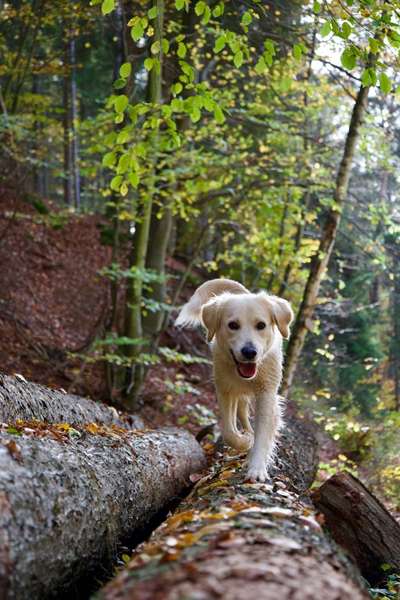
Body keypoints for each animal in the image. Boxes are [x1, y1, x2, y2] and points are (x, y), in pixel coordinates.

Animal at [176, 278, 294, 482]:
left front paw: (256, 468)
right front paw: (245, 442)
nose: (249, 352)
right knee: (242, 416)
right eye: (233, 325)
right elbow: (229, 432)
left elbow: (264, 432)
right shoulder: (225, 390)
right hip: (239, 397)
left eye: (261, 325)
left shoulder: (266, 394)